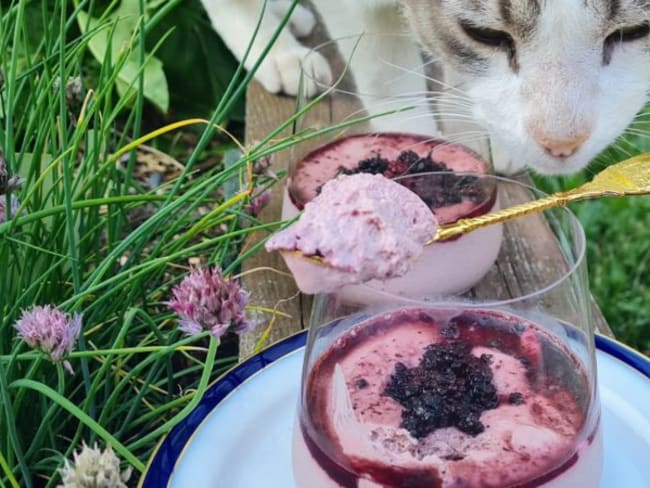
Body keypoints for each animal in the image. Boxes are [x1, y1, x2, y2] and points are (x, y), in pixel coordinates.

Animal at [200, 0, 648, 175]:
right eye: (485, 34)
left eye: (634, 31)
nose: (562, 143)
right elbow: (385, 72)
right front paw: (413, 145)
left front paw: (480, 133)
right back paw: (274, 50)